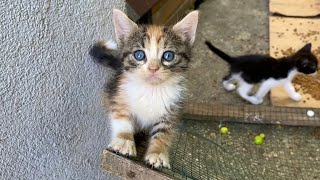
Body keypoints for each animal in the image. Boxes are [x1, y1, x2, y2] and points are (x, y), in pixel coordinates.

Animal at [89, 9, 198, 168]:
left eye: (168, 55)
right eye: (139, 55)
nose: (153, 68)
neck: (151, 90)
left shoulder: (172, 109)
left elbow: (163, 133)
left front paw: (157, 153)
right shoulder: (119, 95)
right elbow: (122, 119)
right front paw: (124, 141)